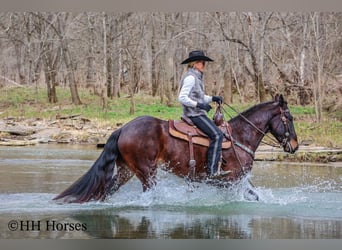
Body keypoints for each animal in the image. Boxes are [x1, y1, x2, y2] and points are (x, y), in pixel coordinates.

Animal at [52, 94, 296, 203]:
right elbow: (253, 197)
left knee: (107, 190)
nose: (294, 145)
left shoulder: (230, 183)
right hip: (146, 171)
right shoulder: (232, 181)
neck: (239, 136)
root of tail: (123, 129)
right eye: (290, 118)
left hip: (126, 171)